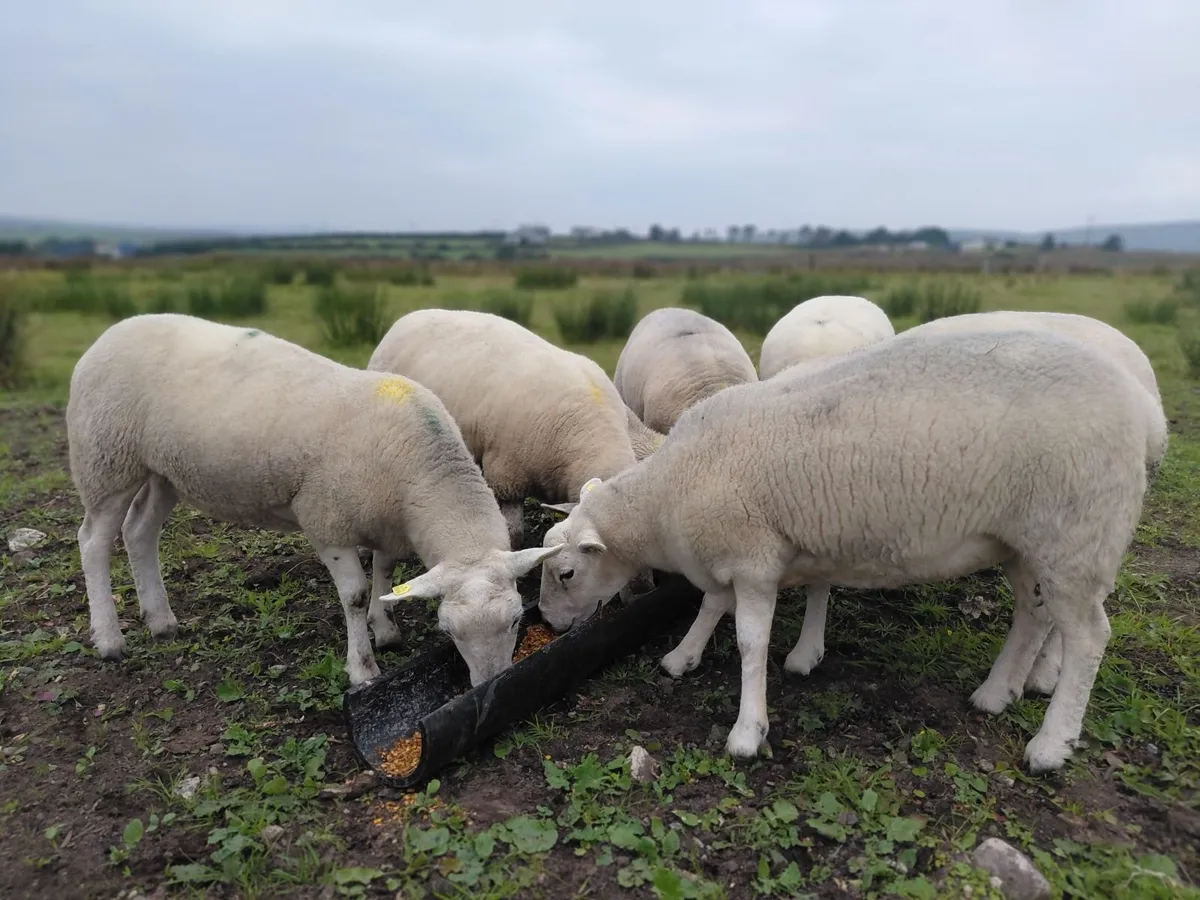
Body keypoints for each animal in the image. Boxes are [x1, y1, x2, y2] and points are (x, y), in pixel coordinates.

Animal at [65, 313, 562, 688]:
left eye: (516, 621)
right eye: (447, 630)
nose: (492, 683)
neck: (422, 469)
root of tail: (110, 333)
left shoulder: (385, 522)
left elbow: (386, 575)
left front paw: (386, 629)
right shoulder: (327, 521)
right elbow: (356, 595)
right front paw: (363, 666)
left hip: (164, 470)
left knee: (139, 530)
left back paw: (161, 619)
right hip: (105, 461)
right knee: (93, 540)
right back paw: (109, 639)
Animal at [536, 328, 1163, 773]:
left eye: (565, 573)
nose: (546, 622)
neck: (667, 494)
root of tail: (1138, 406)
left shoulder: (753, 557)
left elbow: (748, 640)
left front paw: (748, 730)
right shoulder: (761, 548)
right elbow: (721, 604)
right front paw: (687, 656)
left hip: (1077, 536)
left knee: (1088, 636)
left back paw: (1051, 743)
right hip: (1027, 543)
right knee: (1033, 616)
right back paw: (996, 692)